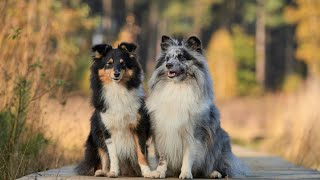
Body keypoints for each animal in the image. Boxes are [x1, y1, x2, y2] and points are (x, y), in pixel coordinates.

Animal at [75, 42, 151, 177]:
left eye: (123, 63)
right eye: (108, 63)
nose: (116, 74)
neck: (117, 91)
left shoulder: (139, 127)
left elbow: (141, 153)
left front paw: (147, 172)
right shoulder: (107, 130)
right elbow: (113, 155)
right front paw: (114, 172)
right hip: (95, 138)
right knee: (104, 158)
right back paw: (102, 172)